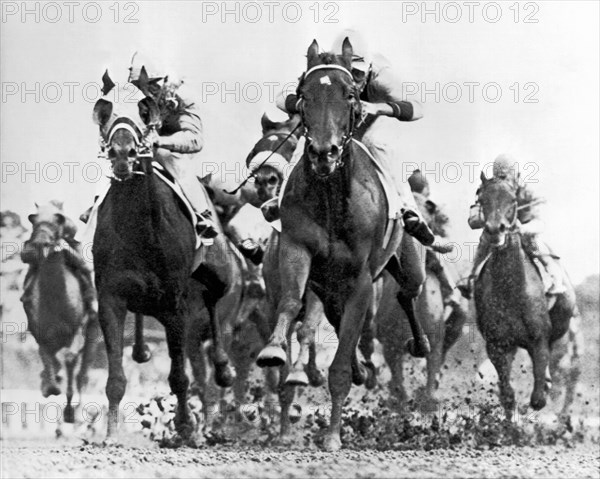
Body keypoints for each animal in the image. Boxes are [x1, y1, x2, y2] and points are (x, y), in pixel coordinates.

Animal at [92, 79, 236, 442]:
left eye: (144, 112)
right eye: (105, 110)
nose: (123, 153)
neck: (141, 230)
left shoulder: (175, 304)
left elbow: (180, 376)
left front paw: (186, 427)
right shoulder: (110, 297)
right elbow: (115, 377)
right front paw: (111, 432)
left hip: (219, 272)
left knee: (214, 302)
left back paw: (223, 368)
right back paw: (142, 348)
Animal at [255, 39, 428, 452]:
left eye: (349, 94)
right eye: (304, 94)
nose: (324, 152)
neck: (333, 198)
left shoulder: (361, 280)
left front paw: (332, 436)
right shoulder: (297, 250)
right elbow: (290, 304)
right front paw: (274, 350)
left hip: (406, 267)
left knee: (407, 293)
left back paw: (418, 344)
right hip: (329, 289)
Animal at [474, 173, 576, 420]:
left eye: (513, 199)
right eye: (481, 198)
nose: (495, 229)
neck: (510, 290)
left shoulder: (539, 341)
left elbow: (539, 398)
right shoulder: (497, 345)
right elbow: (507, 394)